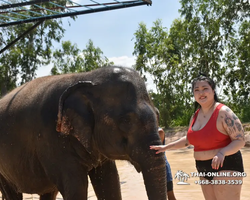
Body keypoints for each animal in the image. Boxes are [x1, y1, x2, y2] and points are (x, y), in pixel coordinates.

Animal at [0, 66, 167, 199]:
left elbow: (110, 181)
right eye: (126, 120)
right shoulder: (52, 141)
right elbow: (76, 188)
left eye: (158, 114)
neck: (86, 78)